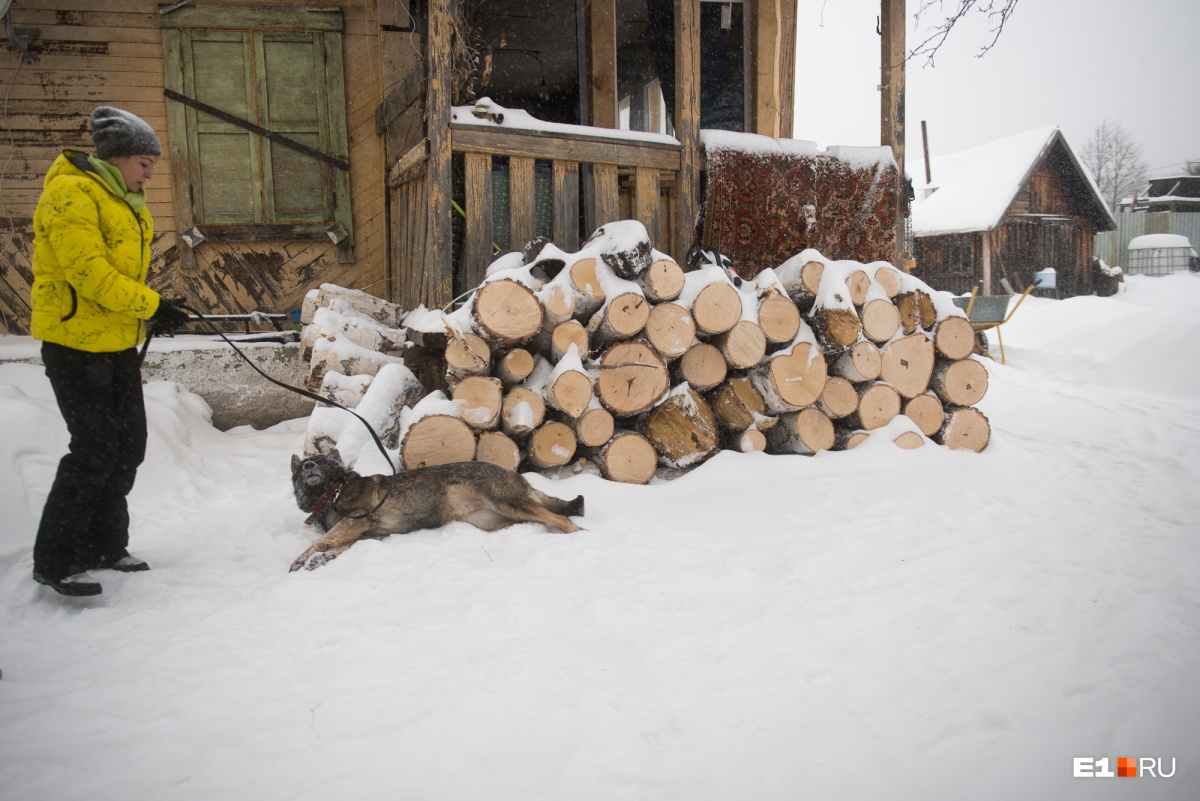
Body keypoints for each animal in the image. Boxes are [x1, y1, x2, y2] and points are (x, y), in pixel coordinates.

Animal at [292, 450, 588, 568]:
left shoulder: (357, 520)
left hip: (511, 503)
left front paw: (301, 557)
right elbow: (335, 547)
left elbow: (323, 539)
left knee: (560, 517)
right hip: (497, 518)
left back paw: (580, 534)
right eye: (305, 463)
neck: (333, 490)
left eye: (319, 461)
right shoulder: (366, 533)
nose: (308, 466)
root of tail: (516, 475)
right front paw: (316, 560)